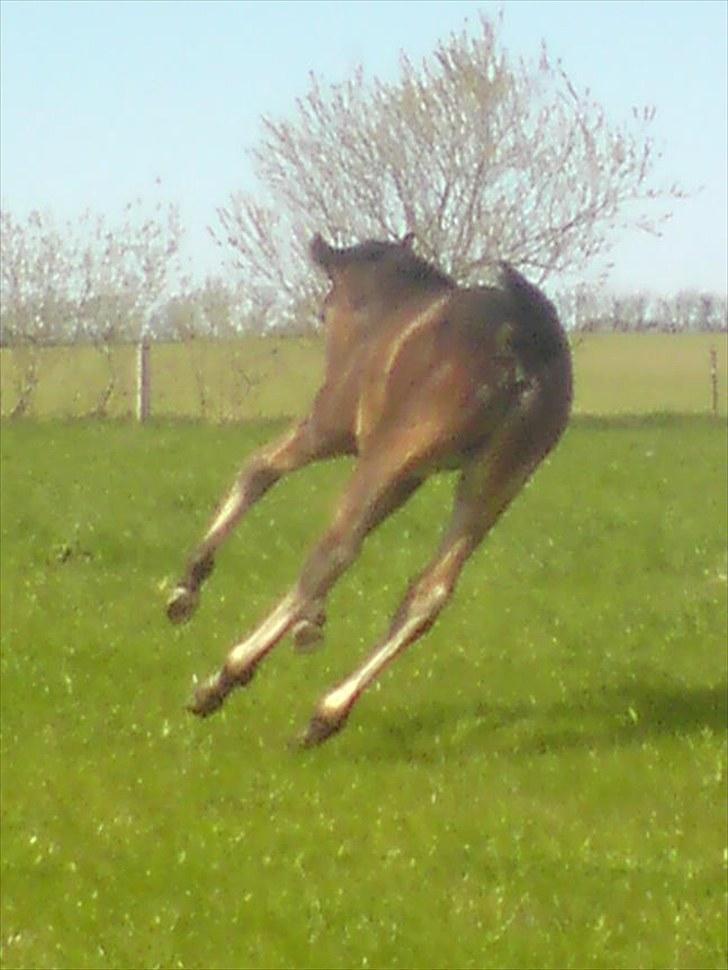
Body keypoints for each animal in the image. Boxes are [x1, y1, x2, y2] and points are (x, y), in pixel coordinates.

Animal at [166, 231, 576, 744]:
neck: (385, 313)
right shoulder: (410, 476)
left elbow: (257, 470)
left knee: (332, 553)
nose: (325, 321)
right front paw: (311, 624)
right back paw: (326, 714)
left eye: (325, 309)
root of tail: (524, 343)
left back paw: (224, 678)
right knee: (429, 591)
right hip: (492, 480)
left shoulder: (331, 429)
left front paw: (187, 586)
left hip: (388, 460)